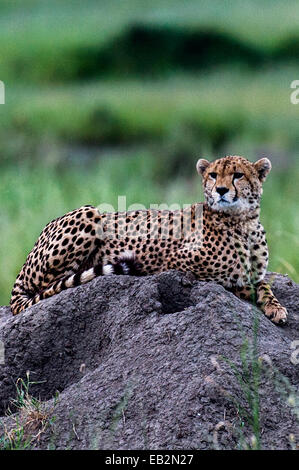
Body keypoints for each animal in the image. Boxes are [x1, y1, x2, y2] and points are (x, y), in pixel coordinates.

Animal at [11, 154, 288, 324]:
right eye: (212, 175)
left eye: (238, 175)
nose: (220, 190)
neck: (242, 222)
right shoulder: (174, 263)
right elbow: (234, 279)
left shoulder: (256, 272)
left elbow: (263, 284)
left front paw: (275, 307)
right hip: (89, 212)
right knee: (50, 287)